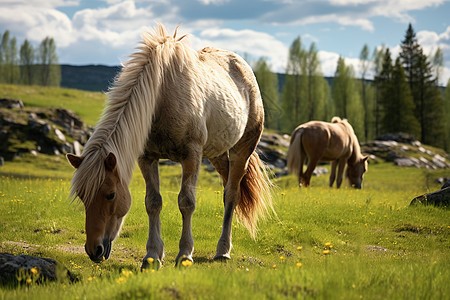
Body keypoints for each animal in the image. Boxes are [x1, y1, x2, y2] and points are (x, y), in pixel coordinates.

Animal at [65, 24, 272, 270]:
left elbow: (187, 202)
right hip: (218, 154)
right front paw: (152, 256)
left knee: (231, 194)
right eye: (81, 196)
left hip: (242, 150)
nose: (93, 250)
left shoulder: (192, 156)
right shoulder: (147, 158)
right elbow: (153, 203)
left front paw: (184, 254)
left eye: (111, 195)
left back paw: (223, 250)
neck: (162, 95)